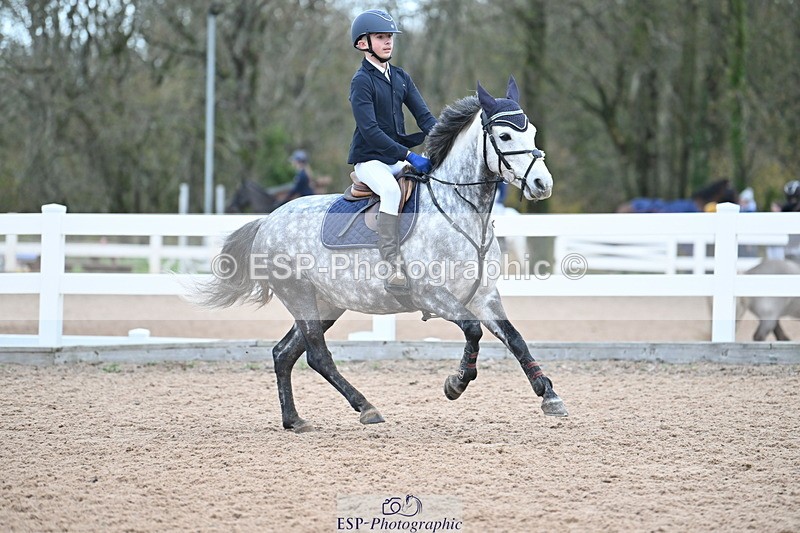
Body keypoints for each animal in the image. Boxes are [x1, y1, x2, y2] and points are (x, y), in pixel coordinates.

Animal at [196, 76, 568, 431]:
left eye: (532, 131)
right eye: (504, 135)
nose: (542, 185)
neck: (461, 211)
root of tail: (268, 221)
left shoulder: (484, 296)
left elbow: (516, 339)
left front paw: (549, 395)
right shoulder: (432, 294)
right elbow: (473, 331)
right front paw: (456, 383)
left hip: (326, 303)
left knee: (283, 353)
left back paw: (294, 420)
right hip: (299, 295)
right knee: (317, 355)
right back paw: (366, 408)